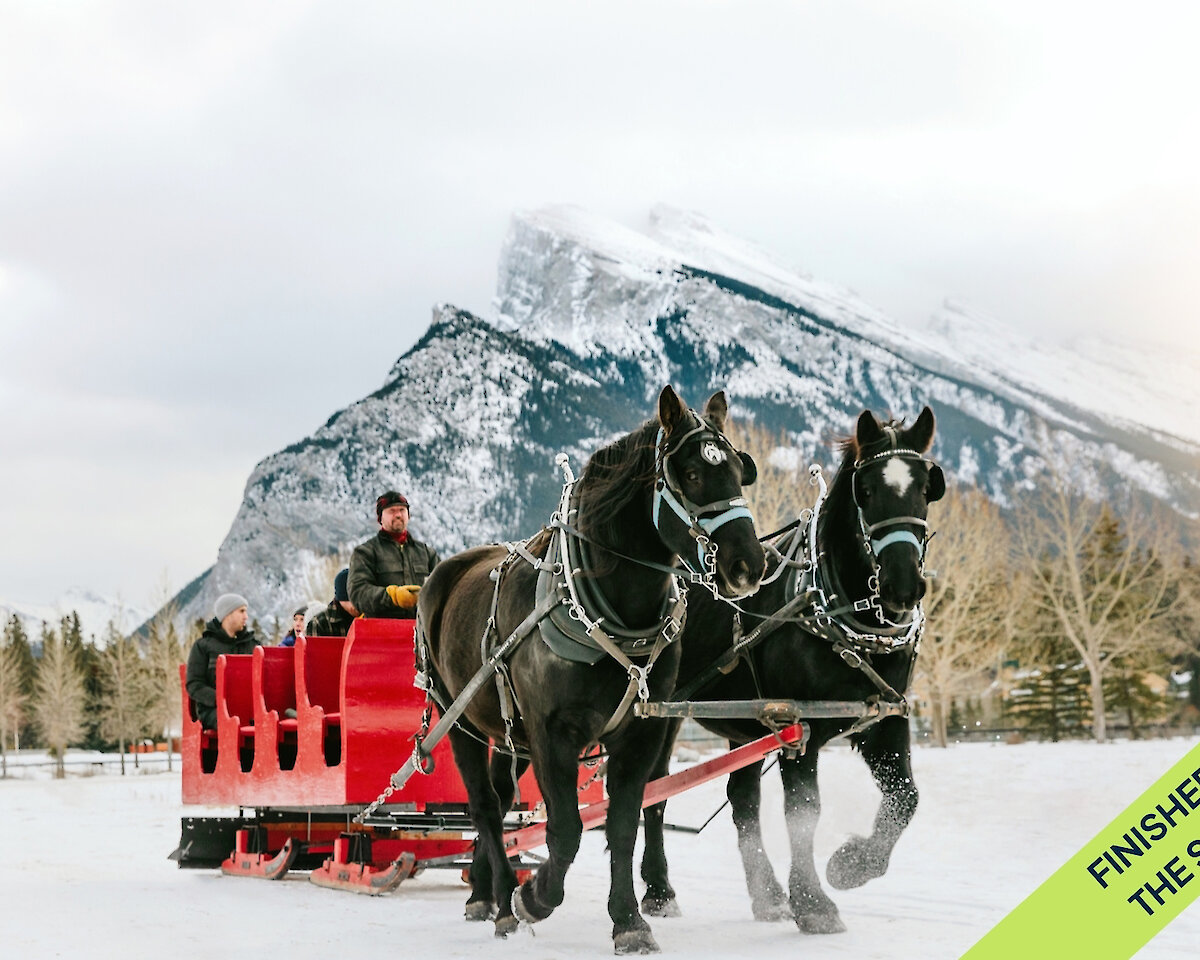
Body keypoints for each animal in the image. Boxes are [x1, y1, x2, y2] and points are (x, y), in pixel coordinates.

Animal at [417, 384, 763, 950]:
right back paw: (505, 901)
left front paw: (629, 921)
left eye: (737, 469)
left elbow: (622, 824)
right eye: (691, 474)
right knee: (486, 806)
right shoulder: (552, 733)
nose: (748, 566)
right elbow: (567, 831)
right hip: (458, 719)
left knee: (501, 798)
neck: (611, 610)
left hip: (509, 736)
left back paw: (485, 892)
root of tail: (441, 574)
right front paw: (536, 897)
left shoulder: (642, 733)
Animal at [643, 408, 940, 936]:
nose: (903, 585)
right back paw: (659, 892)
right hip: (660, 716)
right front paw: (814, 903)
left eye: (927, 488)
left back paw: (767, 896)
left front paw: (851, 866)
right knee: (652, 794)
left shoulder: (884, 720)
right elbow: (804, 812)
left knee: (742, 798)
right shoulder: (797, 725)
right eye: (866, 490)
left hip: (745, 724)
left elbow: (905, 797)